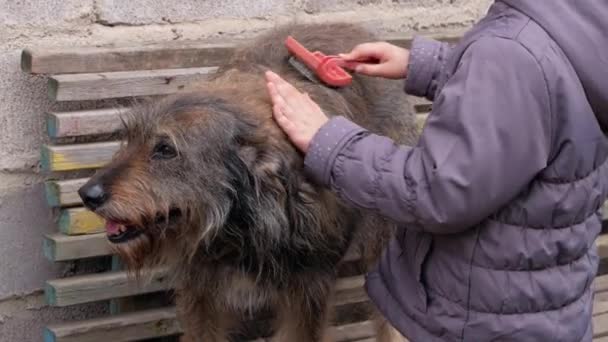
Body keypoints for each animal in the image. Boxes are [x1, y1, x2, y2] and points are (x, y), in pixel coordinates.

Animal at [79, 22, 418, 340]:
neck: (236, 226)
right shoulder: (201, 294)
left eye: (165, 149)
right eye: (130, 138)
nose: (87, 194)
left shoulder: (307, 293)